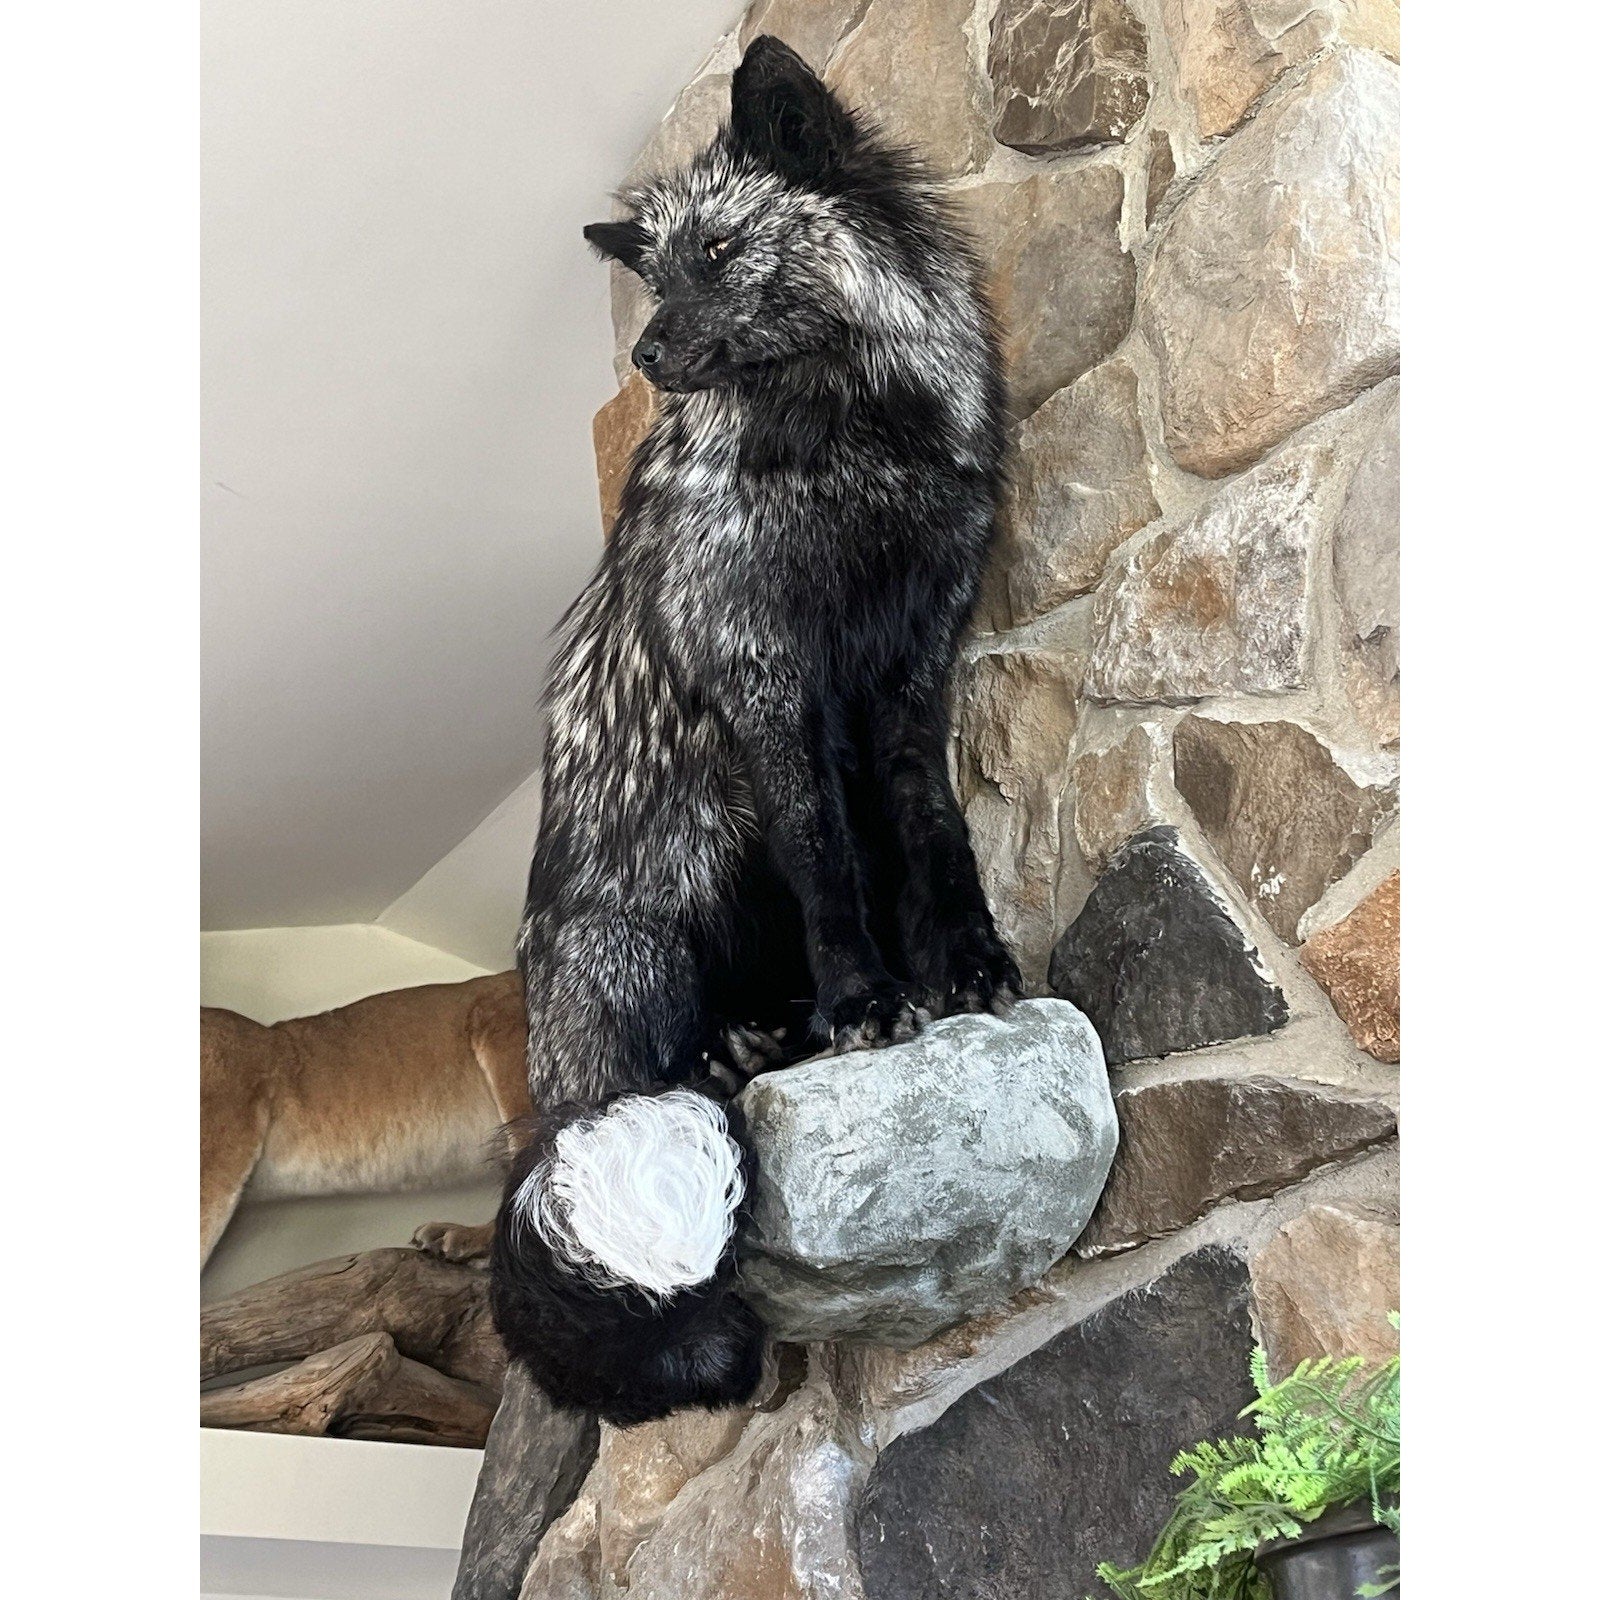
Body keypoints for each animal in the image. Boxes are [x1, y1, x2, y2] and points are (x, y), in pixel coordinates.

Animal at [488, 35, 1020, 1427]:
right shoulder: (769, 676)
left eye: (720, 251)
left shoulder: (911, 661)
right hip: (644, 936)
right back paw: (745, 1049)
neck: (850, 442)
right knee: (667, 1064)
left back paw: (777, 1030)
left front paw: (969, 968)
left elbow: (929, 831)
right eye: (658, 271)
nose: (648, 357)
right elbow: (831, 859)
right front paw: (868, 999)